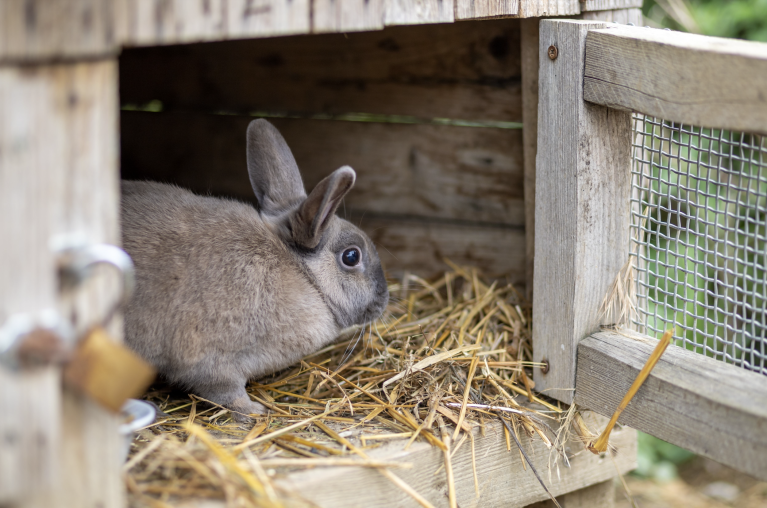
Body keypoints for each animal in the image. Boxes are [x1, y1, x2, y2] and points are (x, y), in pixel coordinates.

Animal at [121, 119, 389, 421]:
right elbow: (226, 392)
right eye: (352, 256)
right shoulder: (213, 362)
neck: (305, 276)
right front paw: (254, 411)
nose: (384, 298)